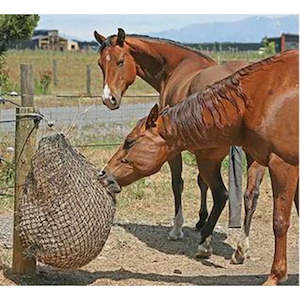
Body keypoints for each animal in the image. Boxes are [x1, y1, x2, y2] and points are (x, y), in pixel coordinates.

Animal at [94, 28, 268, 262]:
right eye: (100, 64)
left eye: (120, 61)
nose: (108, 99)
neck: (177, 67)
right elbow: (201, 182)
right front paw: (201, 220)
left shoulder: (174, 150)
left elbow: (178, 184)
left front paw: (178, 228)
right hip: (253, 157)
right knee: (251, 195)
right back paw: (240, 249)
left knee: (221, 194)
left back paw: (205, 245)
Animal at [101, 50, 300, 284]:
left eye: (129, 142)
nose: (103, 174)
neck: (261, 97)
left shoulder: (284, 165)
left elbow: (280, 222)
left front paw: (276, 275)